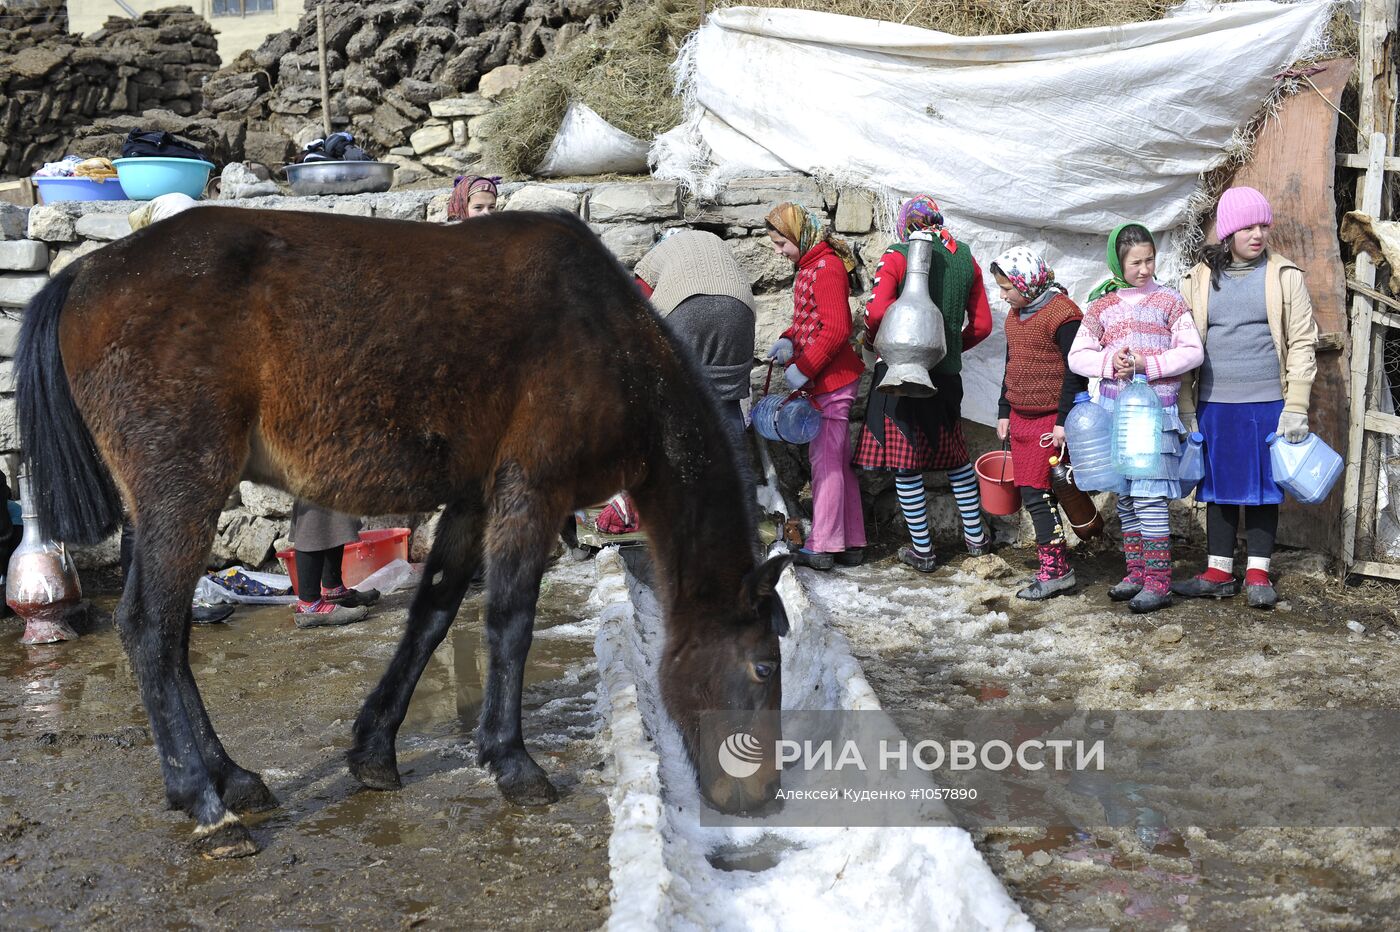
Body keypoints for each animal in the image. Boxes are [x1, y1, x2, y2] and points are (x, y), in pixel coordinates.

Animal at [16, 205, 795, 856]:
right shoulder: (531, 492)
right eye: (763, 666)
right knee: (150, 628)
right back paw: (208, 810)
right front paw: (513, 762)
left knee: (172, 639)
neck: (608, 337)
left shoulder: (474, 501)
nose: (761, 796)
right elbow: (509, 620)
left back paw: (232, 779)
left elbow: (433, 614)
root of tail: (87, 269)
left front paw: (374, 751)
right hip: (183, 494)